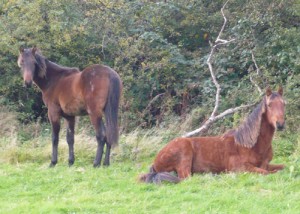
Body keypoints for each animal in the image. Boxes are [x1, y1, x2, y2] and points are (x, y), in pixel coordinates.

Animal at [141, 87, 286, 184]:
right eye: (269, 105)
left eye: (284, 103)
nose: (280, 124)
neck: (251, 145)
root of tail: (155, 162)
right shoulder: (240, 168)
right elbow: (267, 173)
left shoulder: (266, 164)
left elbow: (280, 167)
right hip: (184, 152)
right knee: (186, 178)